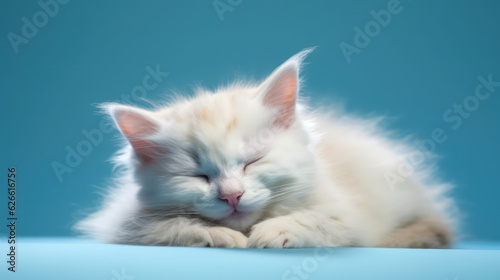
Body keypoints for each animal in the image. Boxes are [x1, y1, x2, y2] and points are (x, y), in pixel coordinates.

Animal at [77, 49, 458, 248]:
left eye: (252, 162)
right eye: (198, 176)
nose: (232, 196)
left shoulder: (350, 215)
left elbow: (316, 220)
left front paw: (276, 231)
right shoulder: (126, 224)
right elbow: (174, 227)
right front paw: (221, 235)